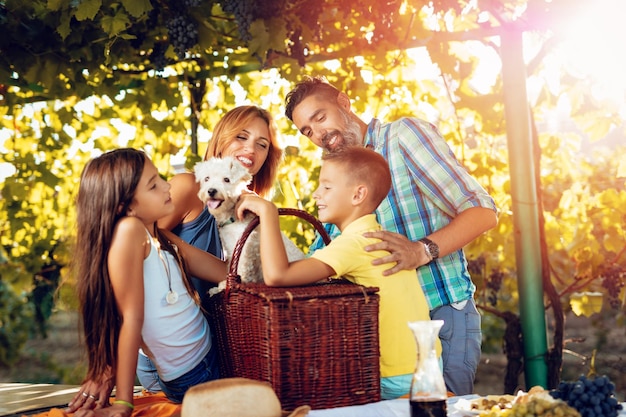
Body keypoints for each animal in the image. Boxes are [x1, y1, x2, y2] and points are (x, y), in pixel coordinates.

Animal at [194, 156, 304, 286]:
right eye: (207, 178)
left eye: (226, 179)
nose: (211, 191)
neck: (232, 217)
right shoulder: (230, 247)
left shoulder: (247, 246)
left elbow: (242, 266)